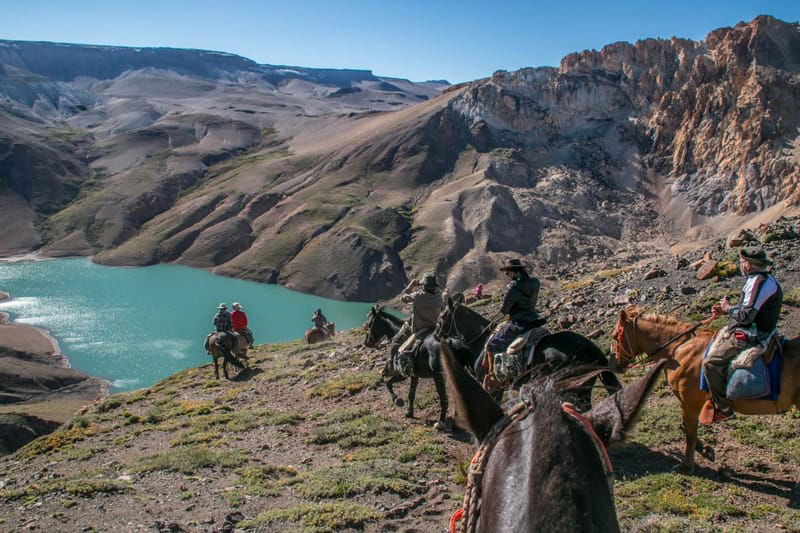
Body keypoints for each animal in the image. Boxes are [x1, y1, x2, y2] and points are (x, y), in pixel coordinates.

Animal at [434, 296, 620, 408]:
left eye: (442, 316)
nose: (436, 334)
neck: (480, 341)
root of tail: (589, 347)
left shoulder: (491, 386)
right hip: (583, 389)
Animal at [612, 306, 800, 472]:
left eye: (615, 336)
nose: (614, 364)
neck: (678, 349)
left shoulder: (689, 402)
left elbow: (690, 432)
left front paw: (687, 466)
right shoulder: (685, 402)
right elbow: (686, 426)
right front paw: (704, 450)